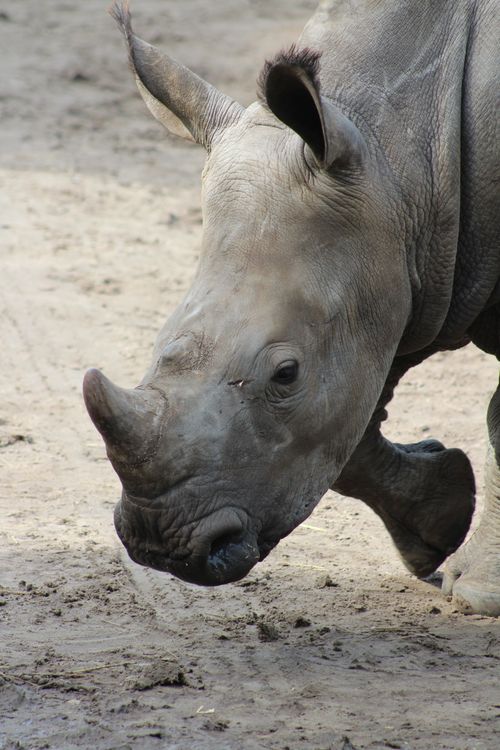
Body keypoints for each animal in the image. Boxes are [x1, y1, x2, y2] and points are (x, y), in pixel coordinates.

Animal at [83, 0, 500, 615]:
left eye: (286, 373)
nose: (161, 545)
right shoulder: (407, 268)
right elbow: (350, 425)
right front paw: (438, 521)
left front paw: (477, 591)